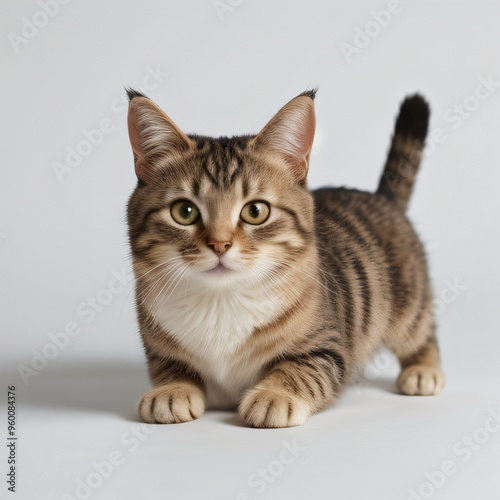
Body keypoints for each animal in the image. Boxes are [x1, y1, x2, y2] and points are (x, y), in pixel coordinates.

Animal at [126, 88, 446, 428]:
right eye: (184, 211)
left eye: (255, 211)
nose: (220, 244)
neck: (221, 300)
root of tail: (381, 198)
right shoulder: (158, 346)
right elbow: (170, 366)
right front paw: (170, 390)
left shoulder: (329, 347)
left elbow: (298, 368)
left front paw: (274, 395)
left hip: (408, 303)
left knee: (421, 332)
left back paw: (423, 370)